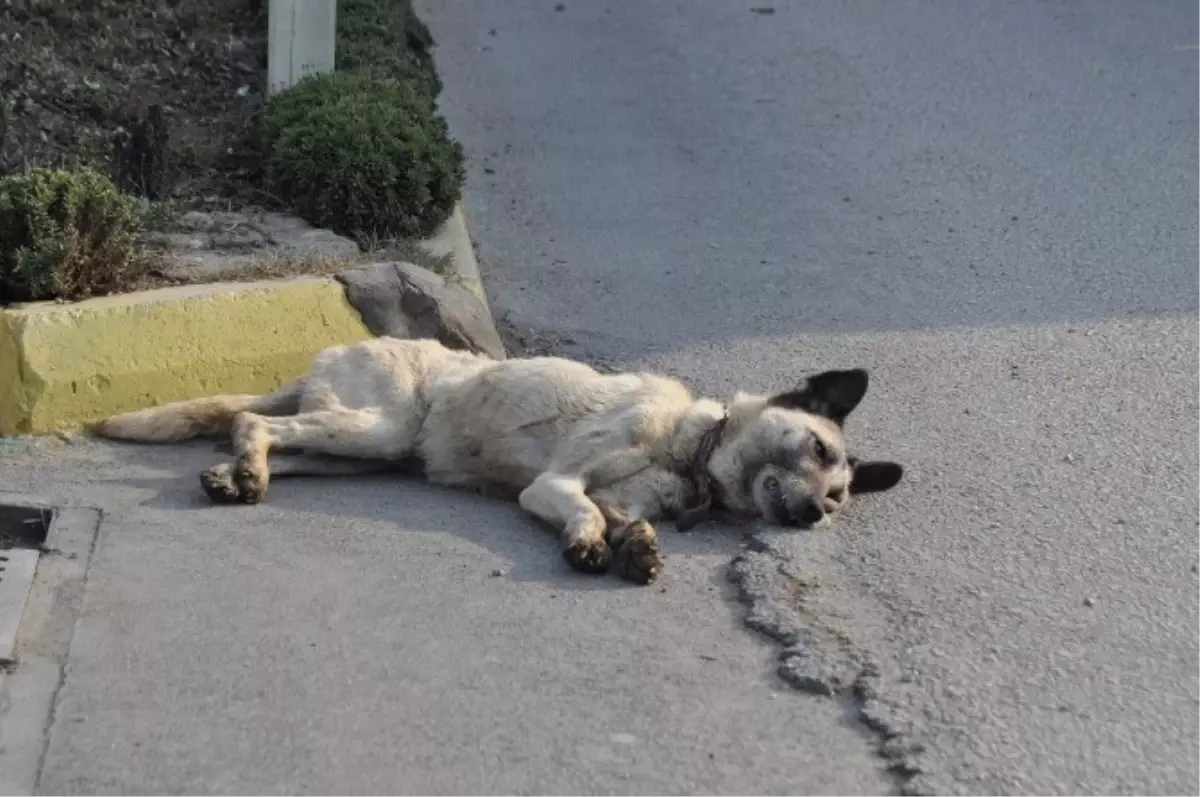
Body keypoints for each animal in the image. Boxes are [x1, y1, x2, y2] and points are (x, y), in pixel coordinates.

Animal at [91, 333, 902, 583]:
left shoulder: (628, 500)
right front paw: (590, 544)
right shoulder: (554, 483)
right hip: (375, 427)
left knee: (265, 435)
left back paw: (235, 473)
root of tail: (339, 346)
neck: (691, 449)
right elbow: (582, 510)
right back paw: (245, 468)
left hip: (363, 453)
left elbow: (628, 522)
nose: (811, 513)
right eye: (817, 447)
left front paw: (636, 548)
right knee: (255, 419)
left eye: (837, 495)